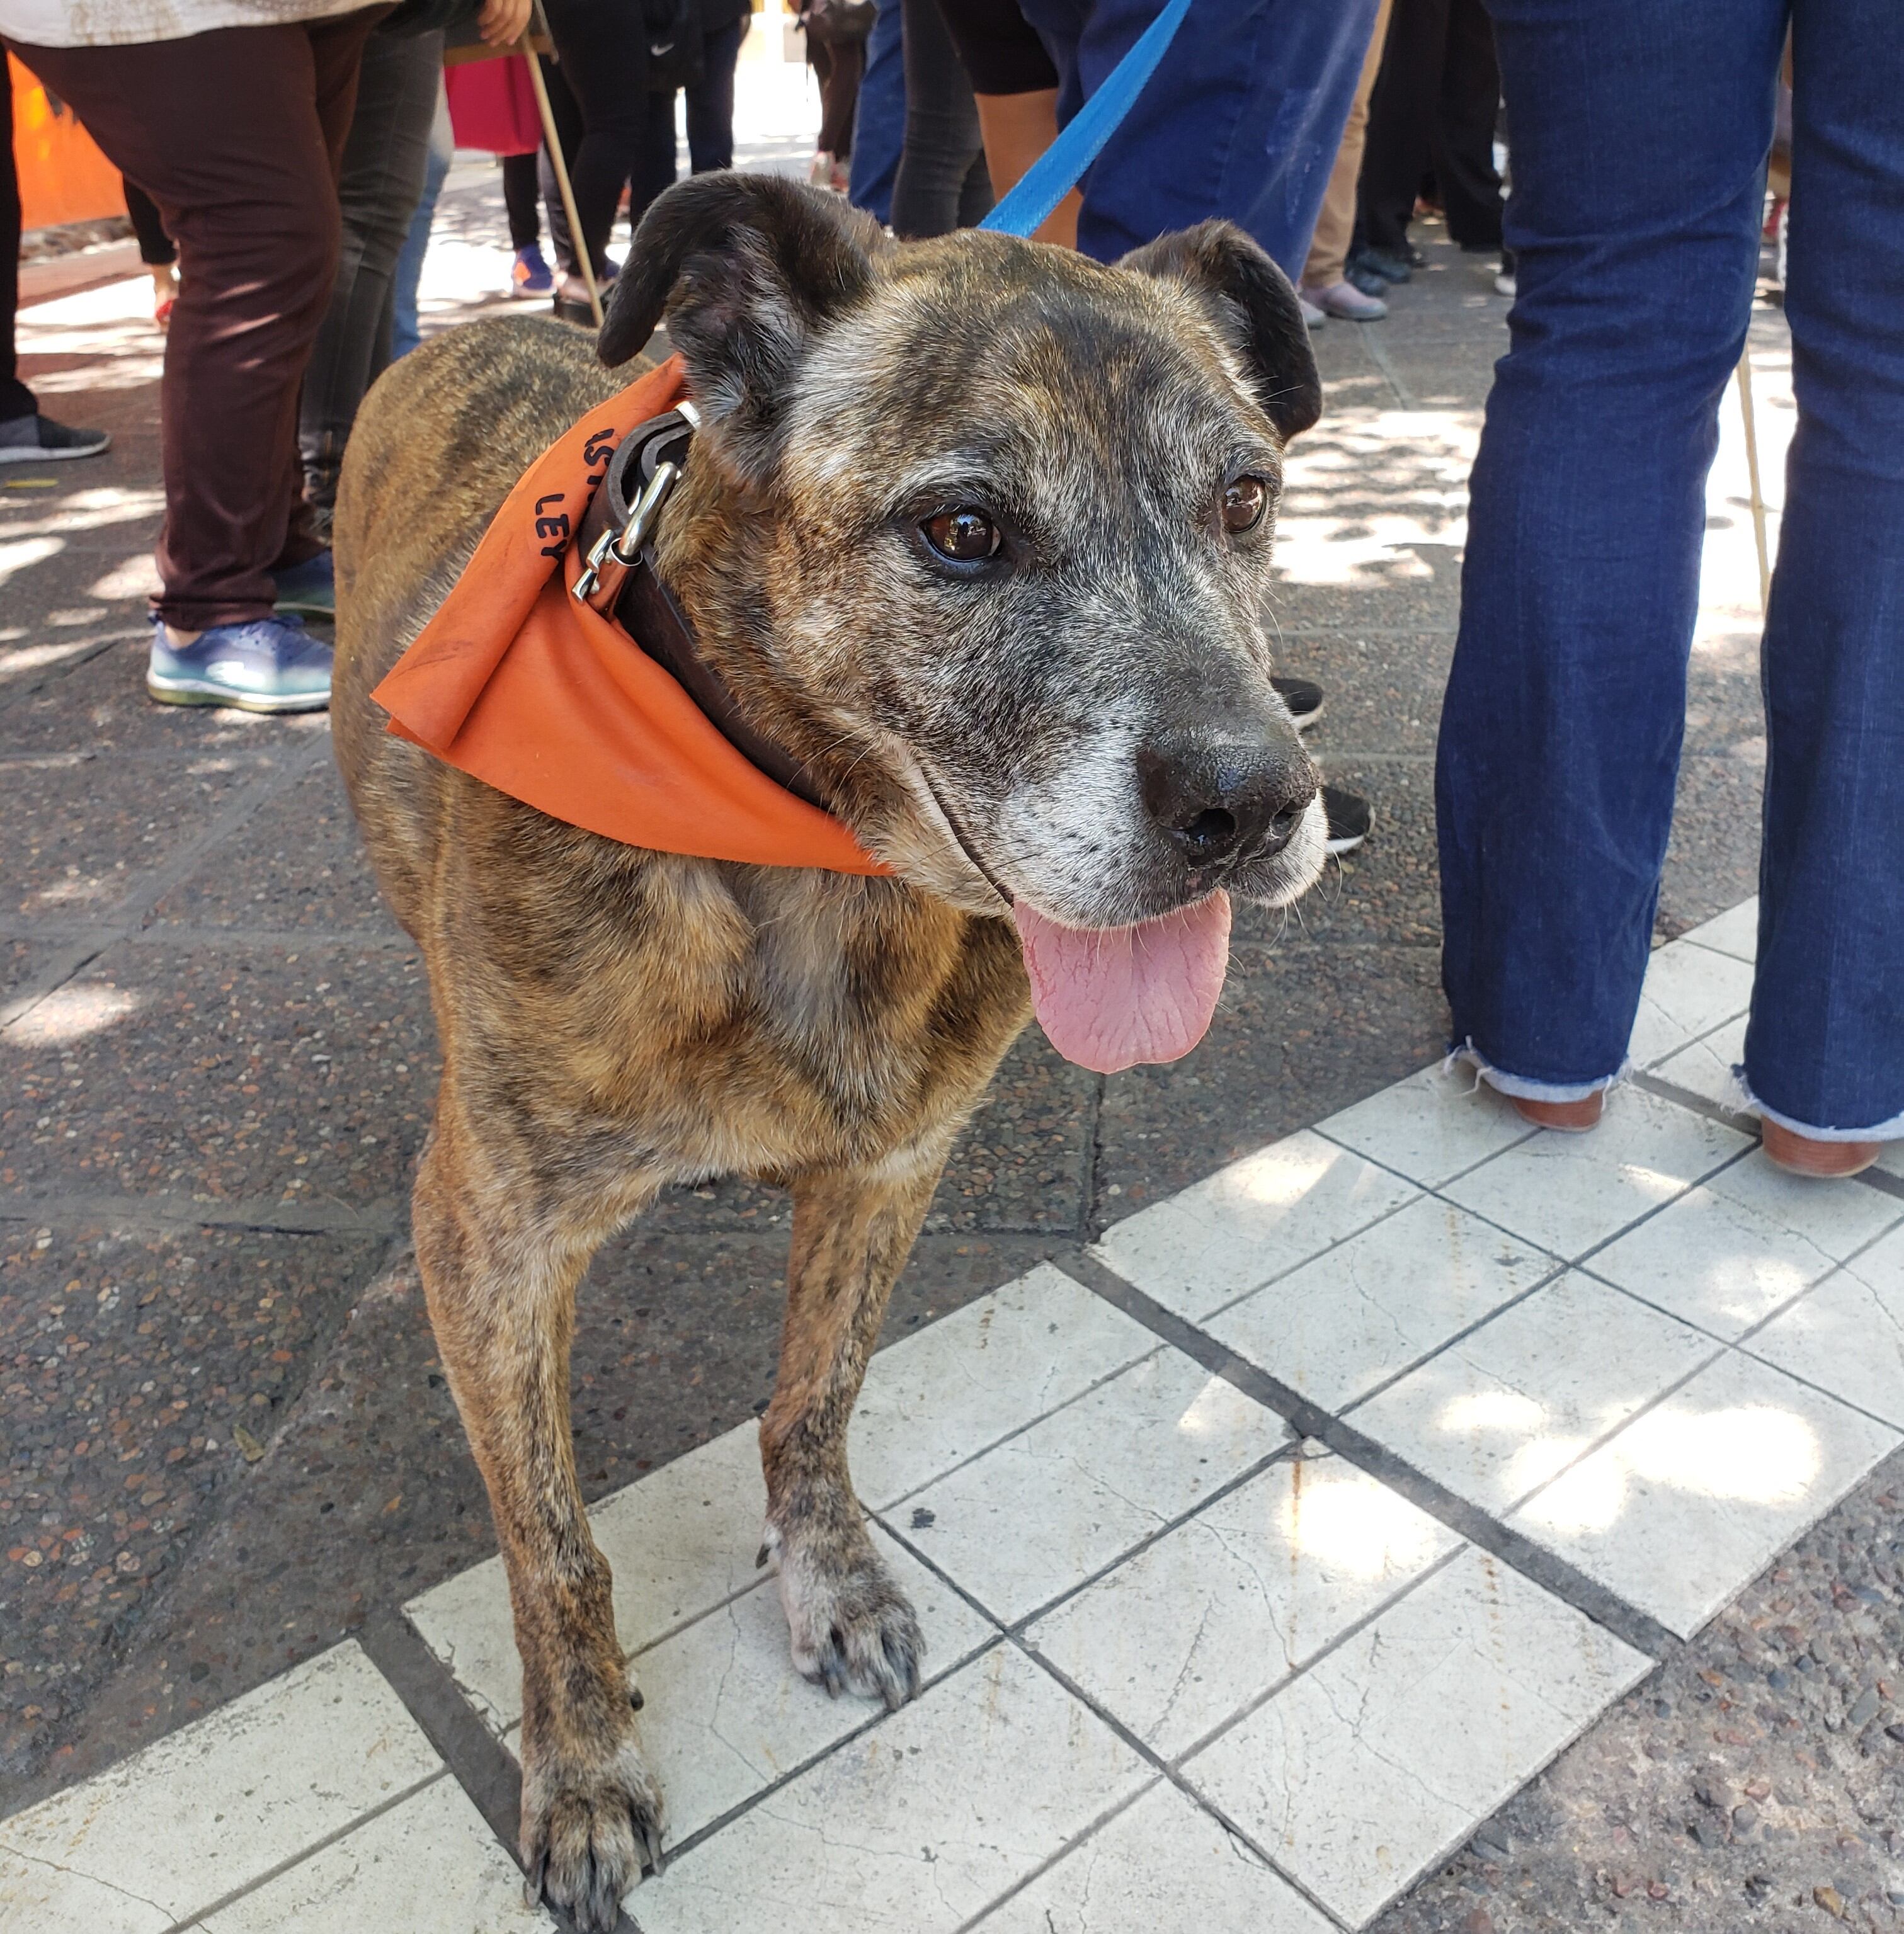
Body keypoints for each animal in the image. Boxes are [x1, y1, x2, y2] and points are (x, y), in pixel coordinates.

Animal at [334, 178, 1323, 1918]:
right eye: (961, 530)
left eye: (1246, 496)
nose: (1255, 800)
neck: (805, 861)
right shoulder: (493, 1238)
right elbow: (552, 1538)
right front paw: (579, 1763)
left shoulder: (889, 1169)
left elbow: (816, 1395)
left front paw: (831, 1575)